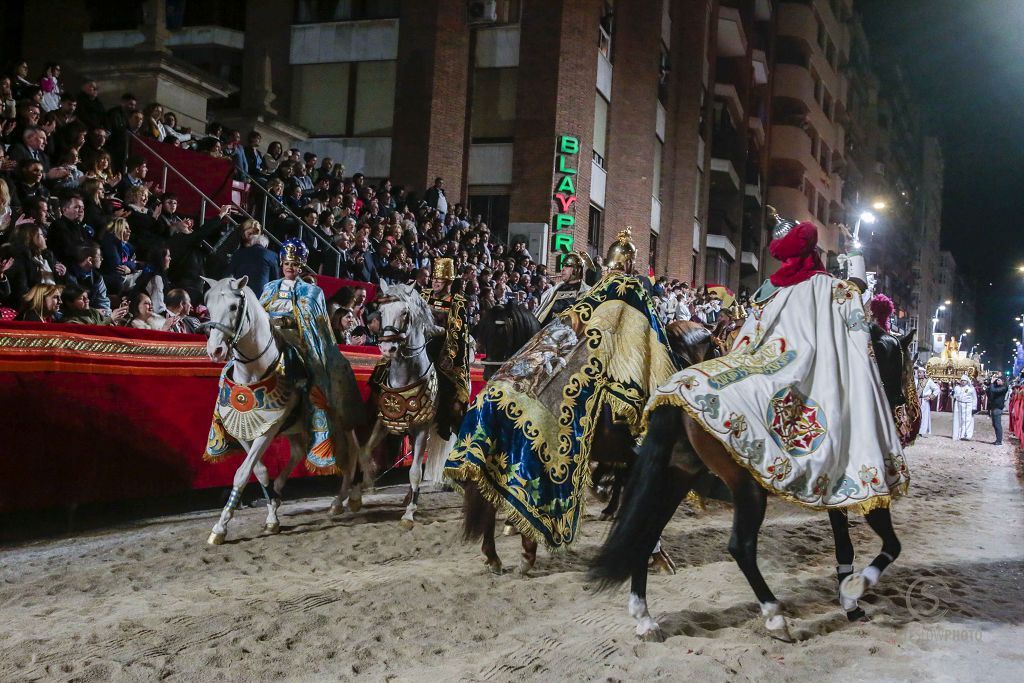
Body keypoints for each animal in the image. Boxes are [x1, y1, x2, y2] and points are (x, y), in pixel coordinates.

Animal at [199, 274, 364, 548]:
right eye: (209, 306)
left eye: (233, 307)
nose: (215, 351)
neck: (254, 371)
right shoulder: (247, 430)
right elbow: (258, 470)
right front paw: (271, 515)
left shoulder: (270, 428)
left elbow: (242, 473)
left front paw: (219, 528)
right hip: (297, 428)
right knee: (298, 453)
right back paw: (279, 491)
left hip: (342, 419)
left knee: (351, 453)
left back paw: (343, 500)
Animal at [362, 282, 446, 528]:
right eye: (380, 312)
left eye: (406, 313)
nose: (387, 348)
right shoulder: (383, 422)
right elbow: (366, 451)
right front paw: (367, 485)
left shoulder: (421, 429)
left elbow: (416, 472)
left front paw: (409, 514)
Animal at [589, 325, 917, 643]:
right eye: (899, 362)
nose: (899, 401)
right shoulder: (864, 486)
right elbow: (892, 544)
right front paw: (857, 587)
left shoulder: (836, 492)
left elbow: (845, 547)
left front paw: (849, 600)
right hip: (748, 489)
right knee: (741, 547)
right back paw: (774, 617)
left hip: (676, 478)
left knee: (645, 533)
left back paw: (644, 618)